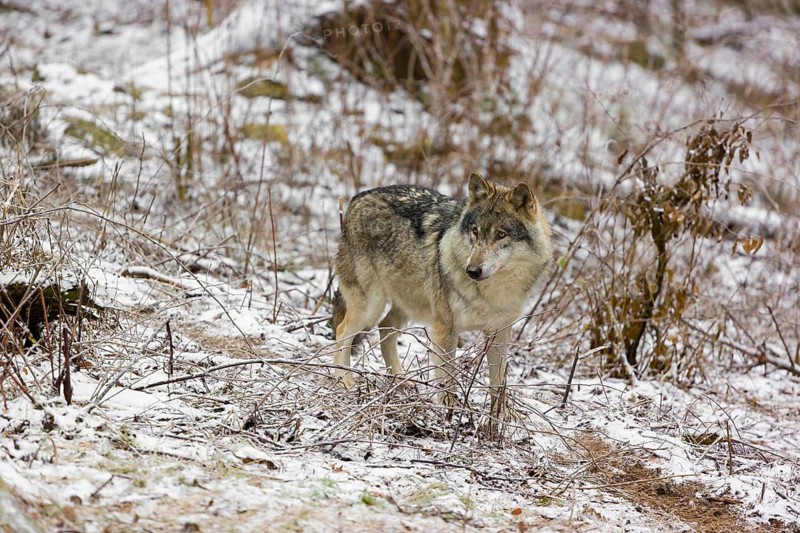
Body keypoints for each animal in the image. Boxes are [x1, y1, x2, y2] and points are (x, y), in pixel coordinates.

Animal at [332, 172, 553, 413]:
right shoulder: (445, 327)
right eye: (475, 231)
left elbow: (498, 383)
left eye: (501, 235)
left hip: (406, 306)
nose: (472, 271)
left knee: (384, 328)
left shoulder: (499, 333)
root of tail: (357, 198)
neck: (492, 293)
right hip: (372, 306)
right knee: (342, 331)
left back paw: (401, 382)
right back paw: (344, 381)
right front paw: (450, 412)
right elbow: (447, 378)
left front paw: (500, 418)